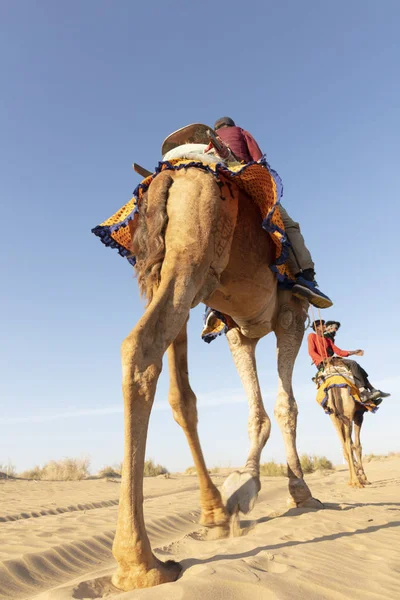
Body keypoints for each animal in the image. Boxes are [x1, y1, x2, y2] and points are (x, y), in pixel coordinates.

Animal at [106, 143, 322, 592]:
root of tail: (168, 176)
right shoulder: (289, 315)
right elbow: (285, 407)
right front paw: (296, 490)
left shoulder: (239, 331)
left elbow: (257, 410)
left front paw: (242, 488)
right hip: (193, 260)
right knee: (141, 347)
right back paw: (142, 564)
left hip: (169, 270)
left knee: (179, 394)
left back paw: (212, 515)